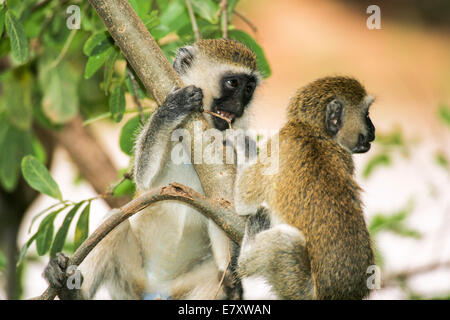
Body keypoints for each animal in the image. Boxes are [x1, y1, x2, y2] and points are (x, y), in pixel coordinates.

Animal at [44, 39, 262, 300]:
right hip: (130, 283)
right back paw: (73, 290)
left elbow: (232, 214)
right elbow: (144, 179)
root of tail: (156, 289)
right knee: (115, 221)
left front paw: (244, 147)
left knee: (220, 278)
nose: (239, 106)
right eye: (233, 83)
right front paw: (170, 110)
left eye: (249, 89)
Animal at [236, 75, 376, 300]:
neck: (314, 130)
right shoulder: (345, 158)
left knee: (283, 242)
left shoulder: (282, 139)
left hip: (299, 286)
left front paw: (241, 144)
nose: (373, 130)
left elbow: (242, 200)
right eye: (367, 115)